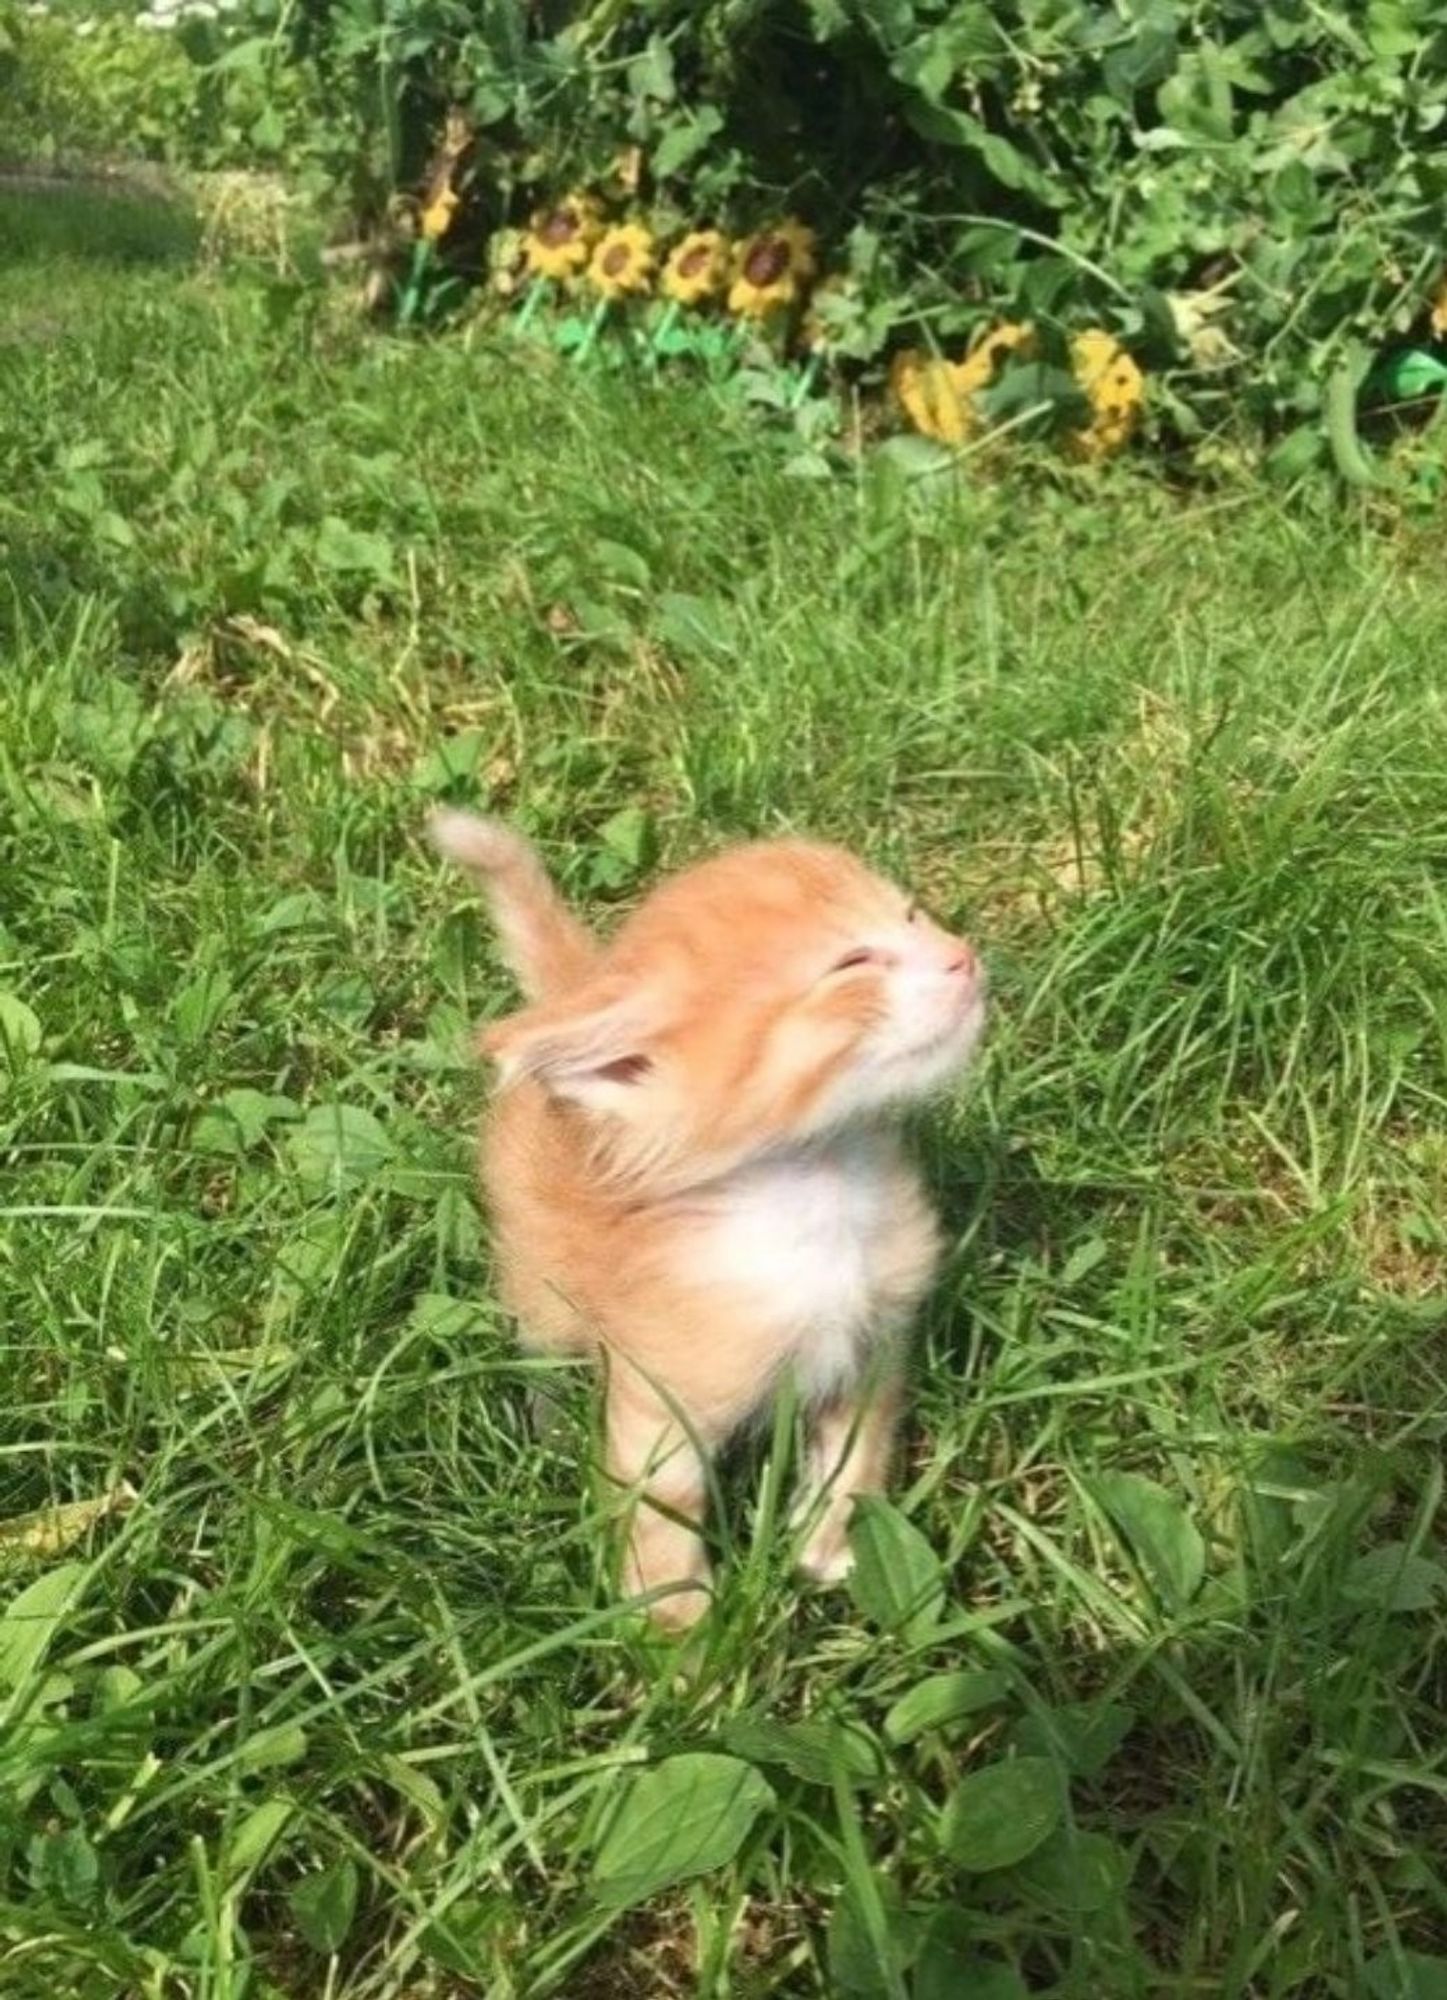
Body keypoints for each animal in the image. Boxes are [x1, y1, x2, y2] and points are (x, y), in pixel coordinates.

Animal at [429, 812, 987, 1624]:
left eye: (914, 915)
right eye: (851, 963)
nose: (963, 956)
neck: (820, 1194)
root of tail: (579, 986)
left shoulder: (873, 1347)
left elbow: (854, 1458)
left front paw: (825, 1546)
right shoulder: (658, 1408)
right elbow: (661, 1523)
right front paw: (682, 1641)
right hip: (534, 1274)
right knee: (541, 1345)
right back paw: (552, 1430)